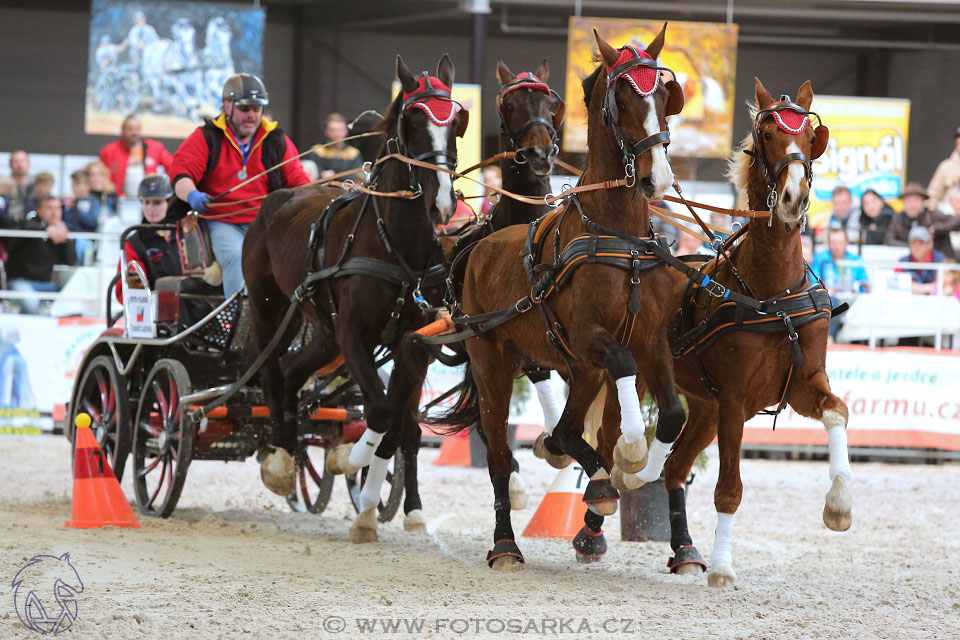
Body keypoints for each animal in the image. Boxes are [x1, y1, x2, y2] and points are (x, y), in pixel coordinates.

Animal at [238, 53, 466, 540]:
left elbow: (399, 425)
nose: (441, 204)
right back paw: (281, 456)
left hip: (325, 331)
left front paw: (379, 500)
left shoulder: (411, 344)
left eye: (457, 120)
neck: (395, 247)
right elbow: (379, 411)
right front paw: (350, 460)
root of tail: (280, 197)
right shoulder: (355, 335)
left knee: (291, 373)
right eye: (412, 119)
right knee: (270, 371)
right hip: (271, 309)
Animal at [432, 23, 688, 568]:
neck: (617, 237)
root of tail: (479, 246)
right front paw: (631, 453)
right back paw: (505, 543)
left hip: (576, 368)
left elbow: (672, 415)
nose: (656, 177)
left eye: (664, 95)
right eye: (621, 98)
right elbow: (616, 387)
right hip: (493, 363)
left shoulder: (650, 340)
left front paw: (636, 468)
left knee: (567, 431)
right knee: (500, 456)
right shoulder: (591, 337)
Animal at [604, 77, 852, 588]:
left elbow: (838, 411)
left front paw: (839, 504)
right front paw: (722, 568)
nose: (794, 197)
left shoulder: (803, 386)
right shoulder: (737, 401)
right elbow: (730, 489)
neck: (770, 294)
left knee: (674, 466)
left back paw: (679, 542)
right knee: (616, 442)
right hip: (656, 382)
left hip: (705, 405)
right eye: (769, 134)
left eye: (809, 137)